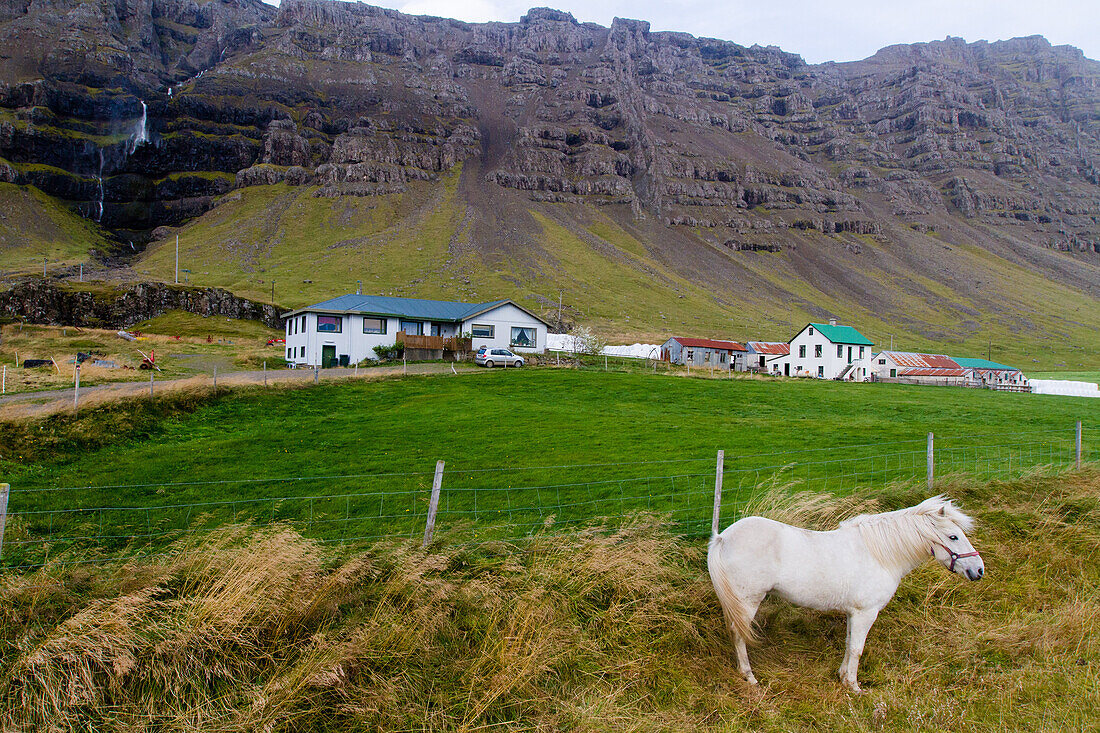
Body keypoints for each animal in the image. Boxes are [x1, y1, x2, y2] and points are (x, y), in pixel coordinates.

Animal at [708, 493, 985, 686]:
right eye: (953, 537)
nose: (979, 570)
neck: (879, 554)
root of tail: (723, 538)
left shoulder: (854, 613)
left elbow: (849, 642)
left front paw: (842, 676)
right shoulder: (866, 613)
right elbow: (857, 648)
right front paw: (853, 685)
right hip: (747, 601)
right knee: (739, 635)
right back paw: (749, 677)